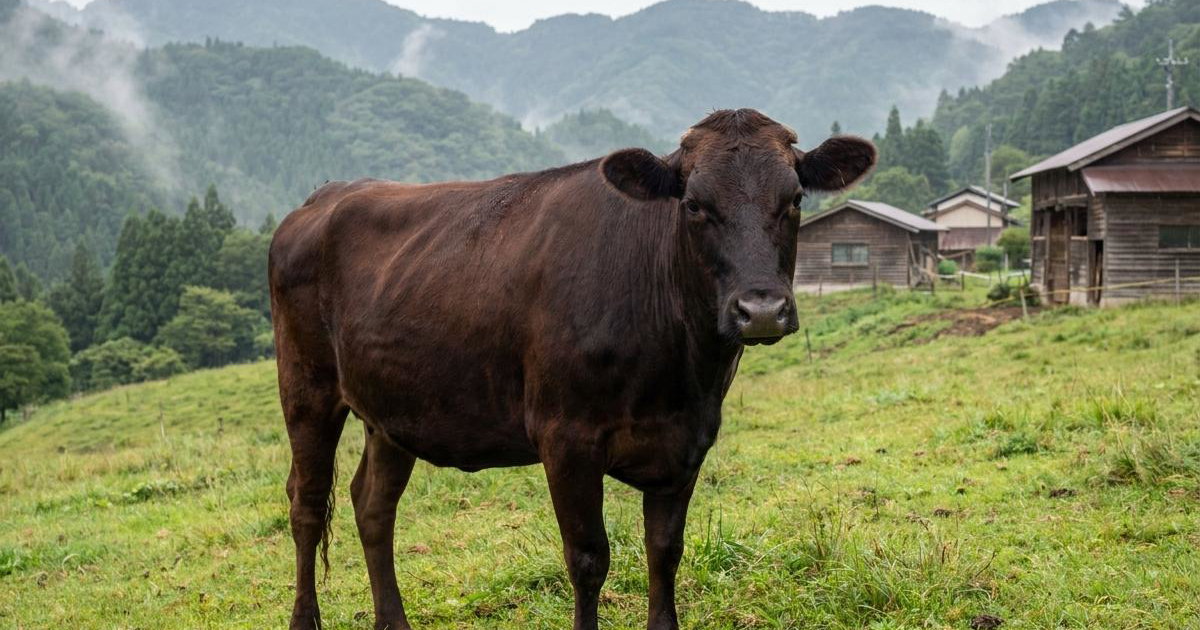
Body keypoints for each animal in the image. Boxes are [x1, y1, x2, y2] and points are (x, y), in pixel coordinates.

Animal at [268, 108, 875, 630]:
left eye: (794, 198)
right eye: (694, 204)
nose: (761, 309)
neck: (679, 377)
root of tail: (328, 194)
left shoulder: (688, 441)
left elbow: (665, 551)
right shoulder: (566, 438)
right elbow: (588, 558)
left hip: (393, 410)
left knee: (373, 505)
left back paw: (394, 621)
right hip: (306, 387)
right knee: (306, 504)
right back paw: (304, 619)